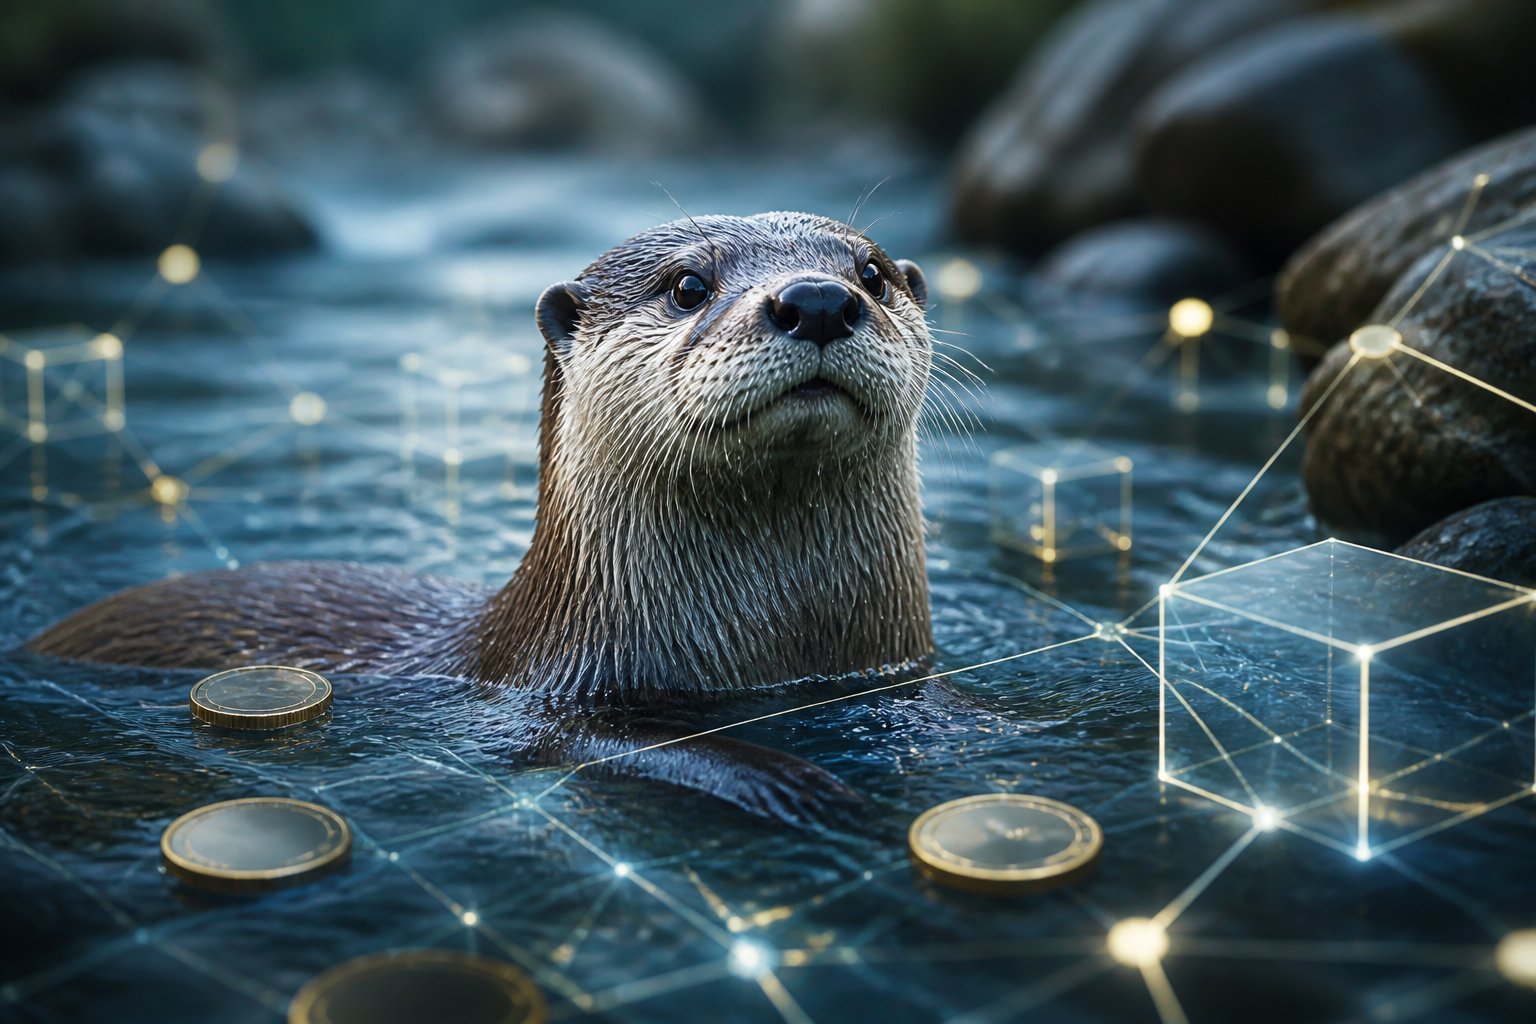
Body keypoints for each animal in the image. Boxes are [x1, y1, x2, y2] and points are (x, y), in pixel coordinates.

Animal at [27, 212, 935, 822]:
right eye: (687, 286)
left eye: (872, 273)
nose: (817, 299)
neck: (772, 642)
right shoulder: (549, 694)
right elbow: (610, 745)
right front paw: (783, 780)